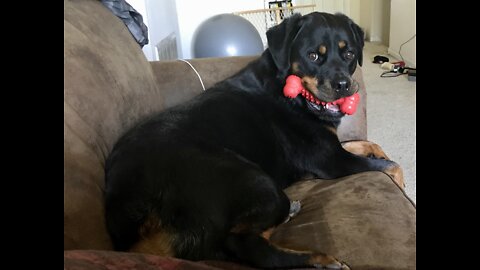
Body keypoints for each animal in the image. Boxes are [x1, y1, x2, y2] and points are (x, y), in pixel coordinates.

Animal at [106, 12, 404, 270]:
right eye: (312, 56)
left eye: (349, 54)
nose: (343, 85)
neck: (293, 95)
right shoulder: (331, 161)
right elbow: (391, 166)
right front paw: (400, 184)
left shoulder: (331, 148)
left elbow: (366, 144)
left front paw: (379, 153)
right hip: (253, 179)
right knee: (243, 245)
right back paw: (318, 258)